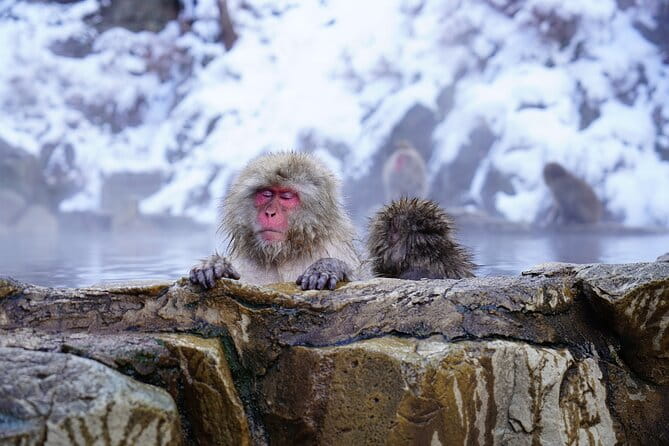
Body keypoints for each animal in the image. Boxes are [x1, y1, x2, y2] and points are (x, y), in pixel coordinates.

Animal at [189, 152, 360, 291]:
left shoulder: (336, 249)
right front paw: (215, 265)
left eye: (286, 196)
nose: (270, 213)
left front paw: (327, 267)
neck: (282, 255)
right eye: (266, 193)